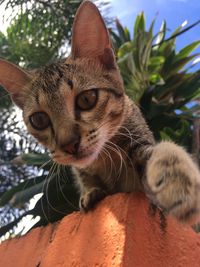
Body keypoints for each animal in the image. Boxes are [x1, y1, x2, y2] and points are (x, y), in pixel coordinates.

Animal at [0, 1, 200, 225]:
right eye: (39, 119)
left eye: (87, 99)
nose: (69, 144)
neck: (104, 161)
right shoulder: (82, 171)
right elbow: (87, 180)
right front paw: (92, 191)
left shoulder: (140, 141)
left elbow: (163, 150)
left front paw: (178, 182)